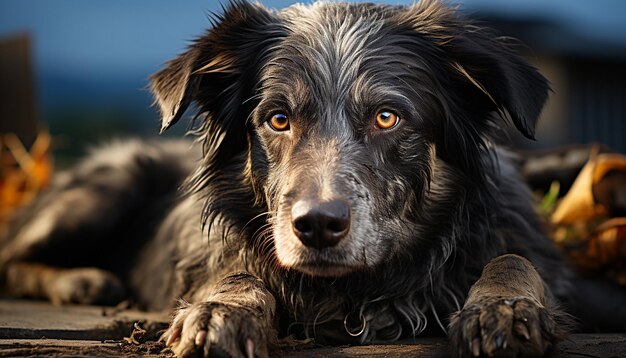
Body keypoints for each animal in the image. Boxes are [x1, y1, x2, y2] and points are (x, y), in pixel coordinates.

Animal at [2, 0, 620, 358]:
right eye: (278, 119)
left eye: (387, 117)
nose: (317, 226)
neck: (358, 290)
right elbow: (238, 271)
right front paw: (221, 310)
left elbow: (512, 257)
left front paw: (505, 306)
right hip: (103, 190)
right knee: (12, 256)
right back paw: (81, 280)